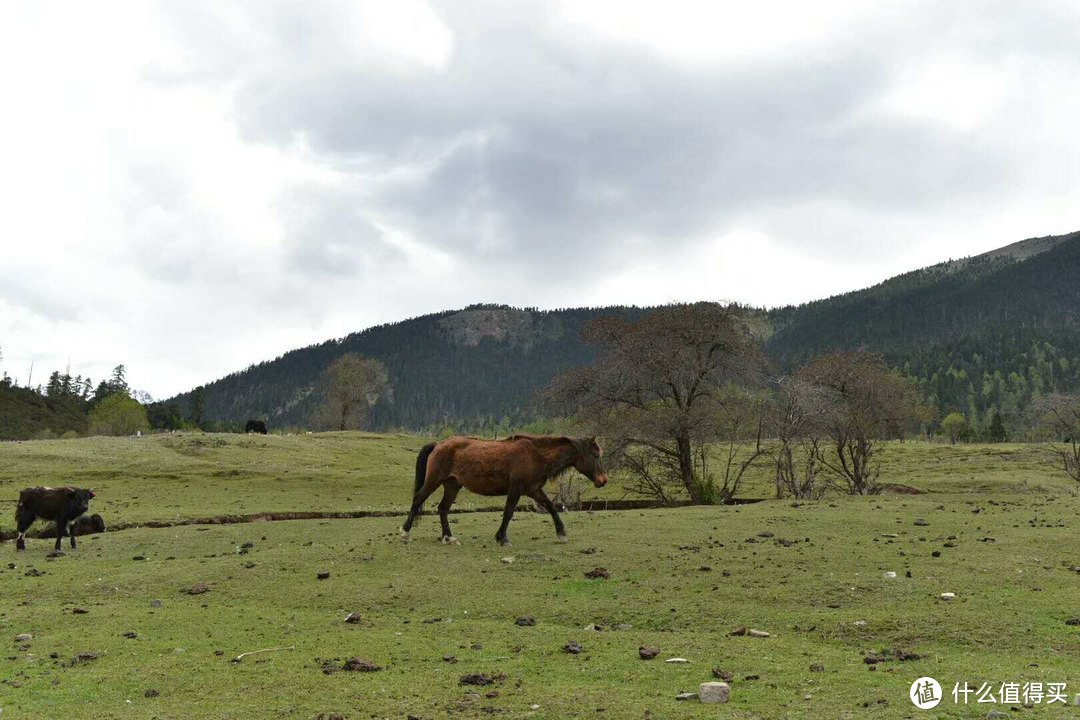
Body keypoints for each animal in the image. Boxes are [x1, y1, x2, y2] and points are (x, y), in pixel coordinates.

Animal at [401, 436, 609, 548]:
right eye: (595, 455)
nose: (603, 480)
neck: (537, 456)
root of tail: (438, 444)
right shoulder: (516, 489)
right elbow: (508, 512)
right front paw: (502, 538)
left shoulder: (534, 490)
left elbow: (551, 507)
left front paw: (561, 533)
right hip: (434, 481)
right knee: (418, 499)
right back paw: (405, 533)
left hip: (452, 485)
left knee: (443, 508)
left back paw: (448, 537)